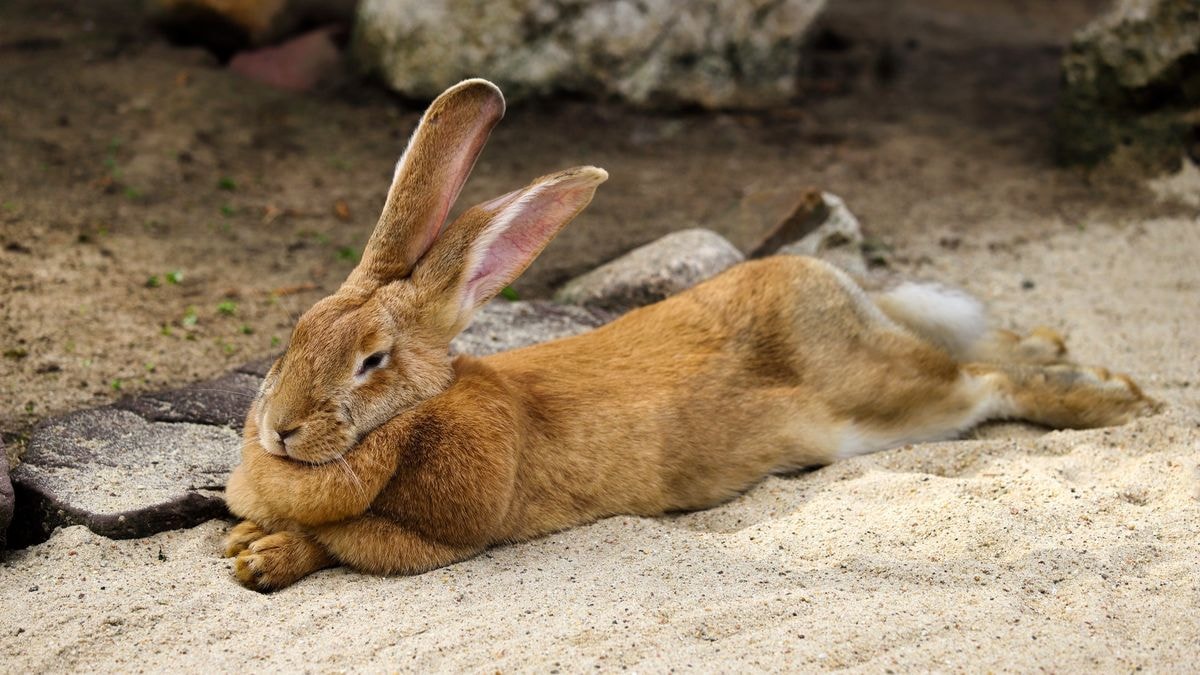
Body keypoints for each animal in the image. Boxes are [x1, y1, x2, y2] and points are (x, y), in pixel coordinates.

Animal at [220, 77, 1156, 588]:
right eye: (291, 339)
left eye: (371, 362)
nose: (280, 430)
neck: (418, 412)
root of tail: (827, 284)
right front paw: (242, 540)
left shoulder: (446, 527)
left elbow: (342, 540)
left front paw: (260, 555)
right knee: (979, 350)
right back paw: (1057, 347)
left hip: (893, 405)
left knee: (986, 386)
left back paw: (1114, 400)